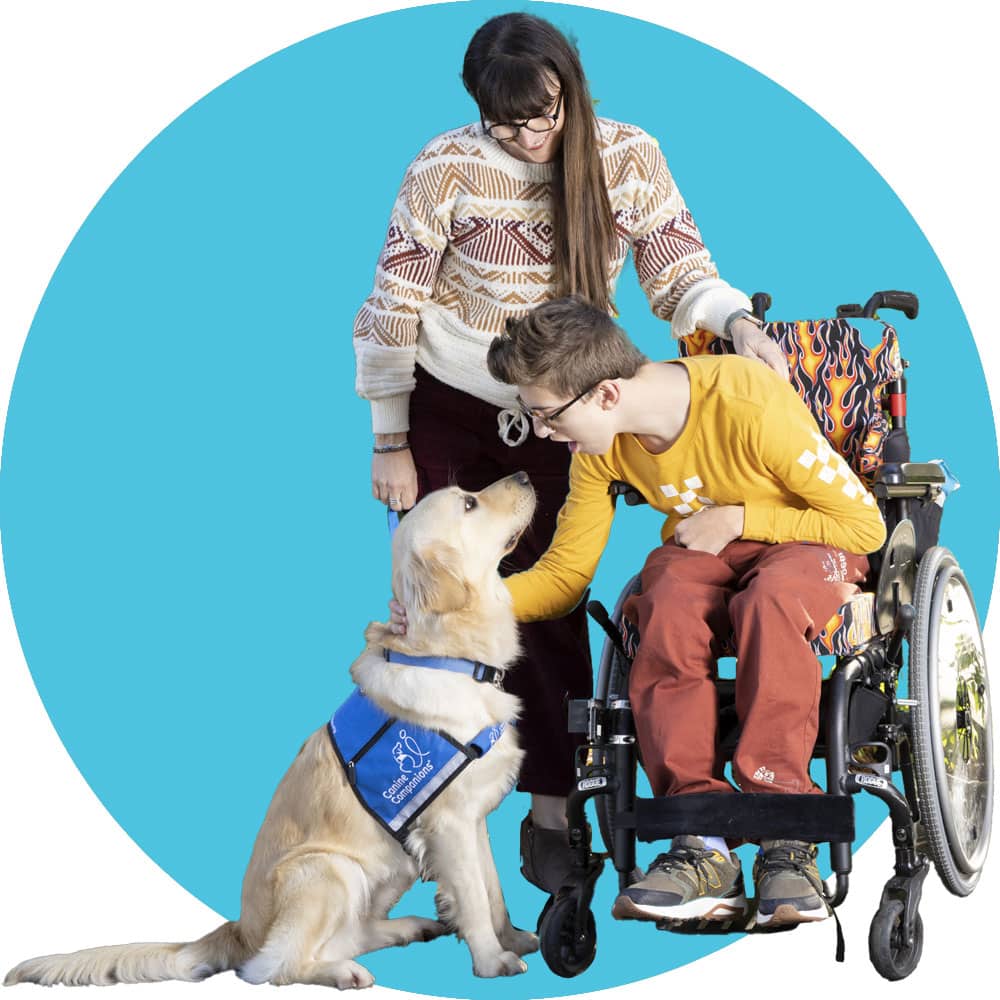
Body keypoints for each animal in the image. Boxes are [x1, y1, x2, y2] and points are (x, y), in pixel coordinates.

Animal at [5, 472, 540, 988]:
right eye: (469, 502)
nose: (524, 473)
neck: (448, 658)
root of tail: (239, 929)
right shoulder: (450, 822)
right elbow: (473, 899)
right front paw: (492, 961)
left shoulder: (473, 819)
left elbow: (493, 891)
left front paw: (513, 937)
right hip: (328, 869)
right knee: (273, 966)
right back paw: (342, 972)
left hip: (391, 866)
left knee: (351, 935)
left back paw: (407, 928)